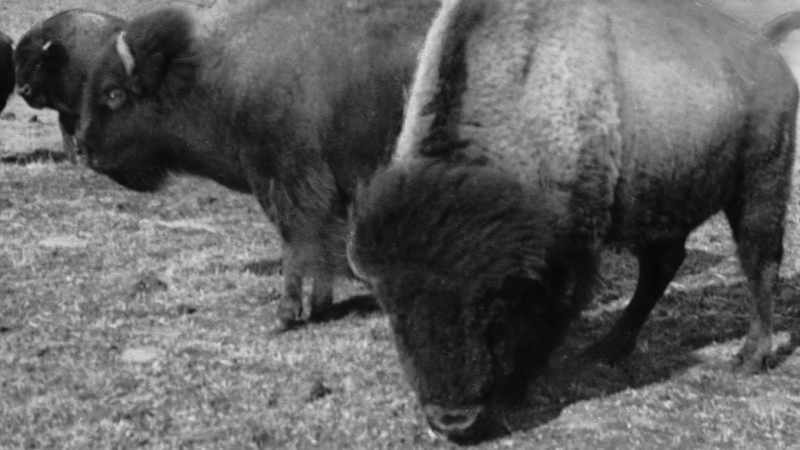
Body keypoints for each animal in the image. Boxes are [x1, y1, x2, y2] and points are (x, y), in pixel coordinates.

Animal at [15, 9, 125, 162]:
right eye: (17, 62)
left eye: (38, 63)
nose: (23, 90)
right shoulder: (66, 109)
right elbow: (66, 130)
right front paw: (73, 158)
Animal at [76, 1, 438, 331]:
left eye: (113, 93)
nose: (83, 148)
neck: (212, 72)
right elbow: (322, 244)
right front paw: (320, 306)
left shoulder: (286, 182)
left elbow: (297, 243)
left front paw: (286, 314)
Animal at [349, 0, 800, 442]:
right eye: (391, 308)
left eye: (492, 301)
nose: (452, 419)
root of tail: (768, 54)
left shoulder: (571, 252)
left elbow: (552, 314)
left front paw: (517, 388)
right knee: (661, 267)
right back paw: (608, 348)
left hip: (760, 185)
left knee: (760, 262)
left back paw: (749, 357)